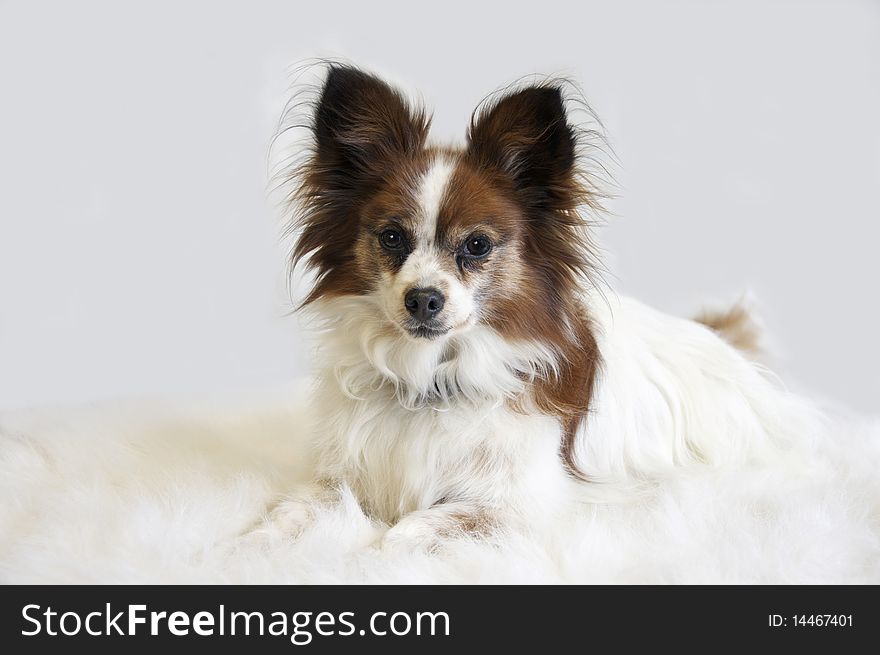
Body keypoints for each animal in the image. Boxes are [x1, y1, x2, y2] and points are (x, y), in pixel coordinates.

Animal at [268, 65, 812, 548]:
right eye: (391, 237)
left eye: (477, 245)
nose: (422, 299)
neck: (432, 379)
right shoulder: (341, 476)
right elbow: (290, 511)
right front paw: (254, 544)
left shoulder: (525, 504)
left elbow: (404, 532)